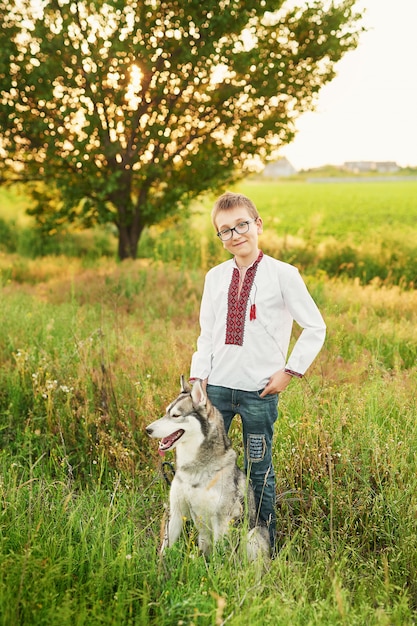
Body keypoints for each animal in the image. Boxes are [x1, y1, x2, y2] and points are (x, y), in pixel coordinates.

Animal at [145, 372, 270, 560]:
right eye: (166, 413)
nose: (147, 430)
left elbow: (220, 559)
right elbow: (164, 550)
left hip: (252, 535)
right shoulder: (176, 513)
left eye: (175, 415)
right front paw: (159, 567)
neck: (194, 468)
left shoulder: (221, 520)